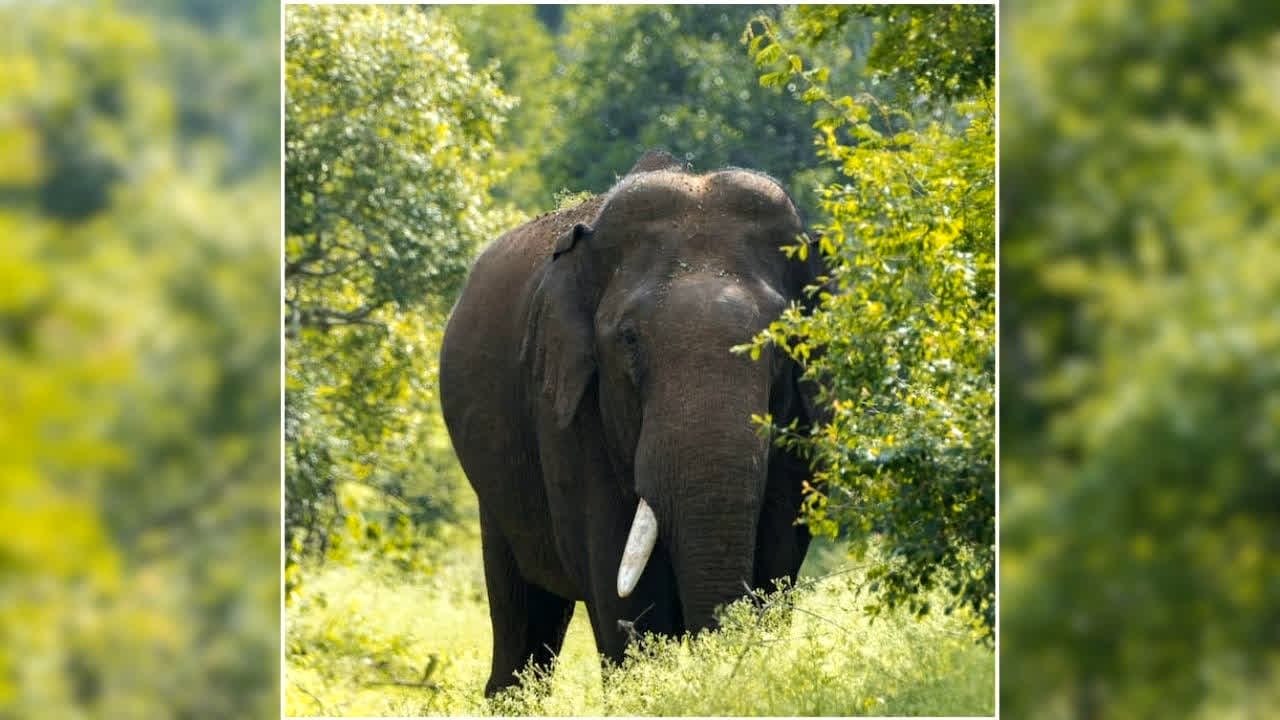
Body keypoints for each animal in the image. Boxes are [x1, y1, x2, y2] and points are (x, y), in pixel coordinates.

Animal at [439, 150, 824, 697]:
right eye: (628, 339)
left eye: (783, 340)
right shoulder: (568, 410)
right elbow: (623, 589)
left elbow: (778, 560)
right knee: (521, 615)